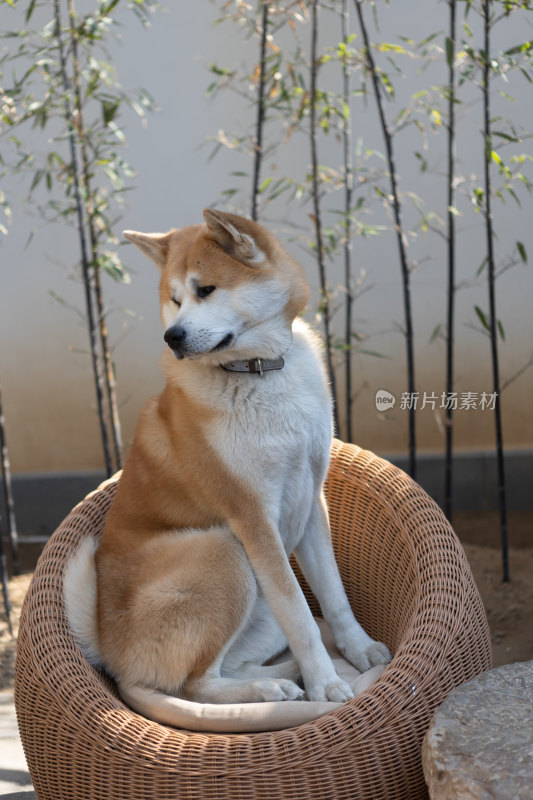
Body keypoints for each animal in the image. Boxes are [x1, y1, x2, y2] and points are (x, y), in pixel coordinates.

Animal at [63, 208, 390, 708]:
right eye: (174, 299)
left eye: (206, 290)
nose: (173, 335)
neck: (260, 372)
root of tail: (107, 642)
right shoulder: (252, 518)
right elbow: (301, 615)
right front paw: (326, 684)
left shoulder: (311, 501)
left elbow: (333, 599)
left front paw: (357, 650)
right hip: (225, 553)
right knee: (195, 685)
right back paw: (274, 685)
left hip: (259, 606)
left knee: (229, 665)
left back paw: (287, 675)